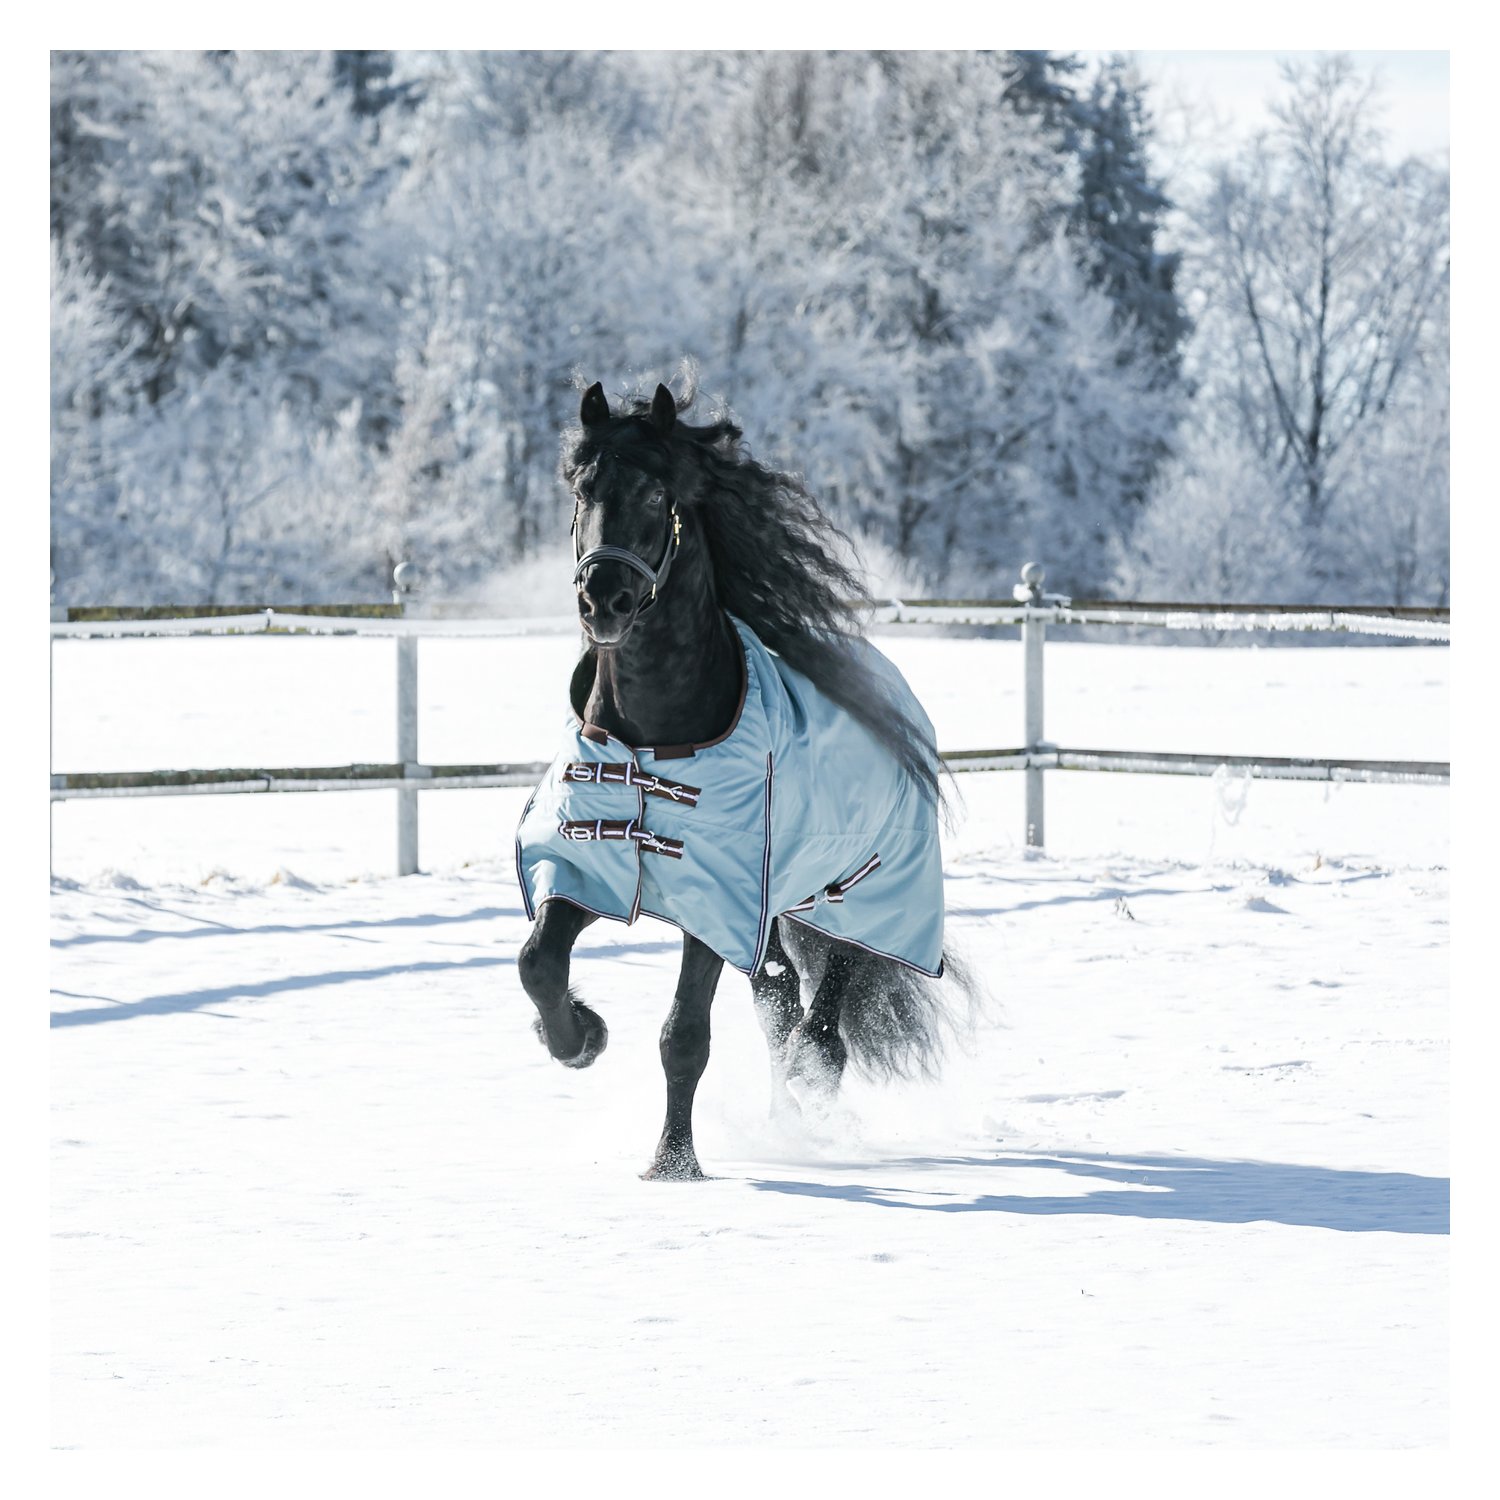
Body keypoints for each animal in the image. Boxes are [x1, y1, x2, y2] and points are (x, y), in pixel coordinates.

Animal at [516, 378, 976, 1180]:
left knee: (820, 1034)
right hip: (776, 920)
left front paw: (673, 1165)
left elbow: (683, 1037)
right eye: (581, 490)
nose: (603, 602)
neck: (656, 736)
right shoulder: (592, 864)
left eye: (657, 491)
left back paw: (804, 1107)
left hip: (851, 908)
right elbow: (538, 961)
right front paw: (578, 1036)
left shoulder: (719, 904)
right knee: (782, 1005)